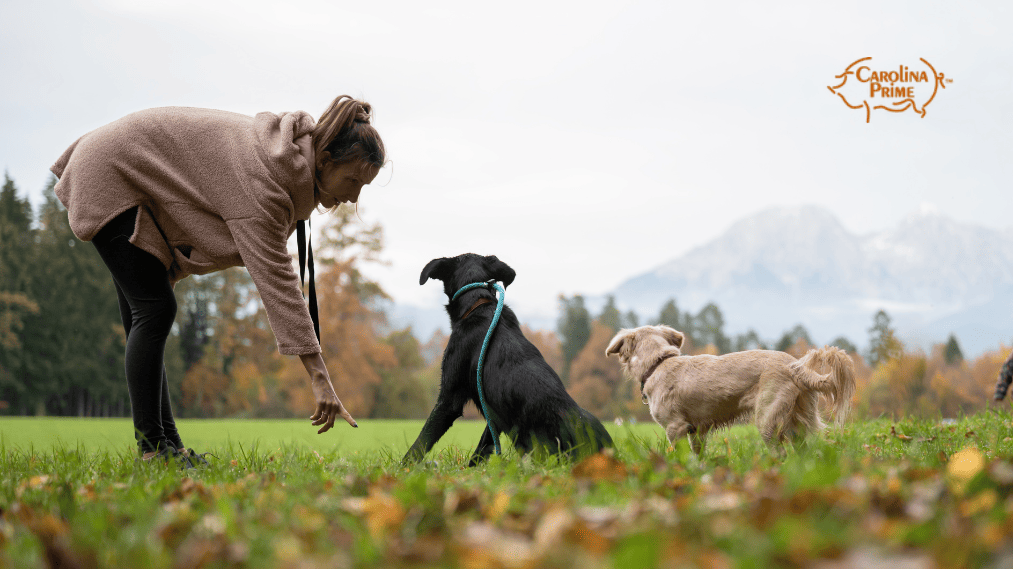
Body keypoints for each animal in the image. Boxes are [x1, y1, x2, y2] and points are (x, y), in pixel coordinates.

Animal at [401, 253, 607, 465]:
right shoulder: (493, 412)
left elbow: (422, 441)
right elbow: (484, 445)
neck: (478, 303)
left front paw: (404, 467)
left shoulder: (450, 399)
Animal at [607, 323, 854, 451]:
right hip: (797, 422)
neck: (658, 363)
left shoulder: (675, 428)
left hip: (767, 420)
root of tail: (796, 367)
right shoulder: (696, 432)